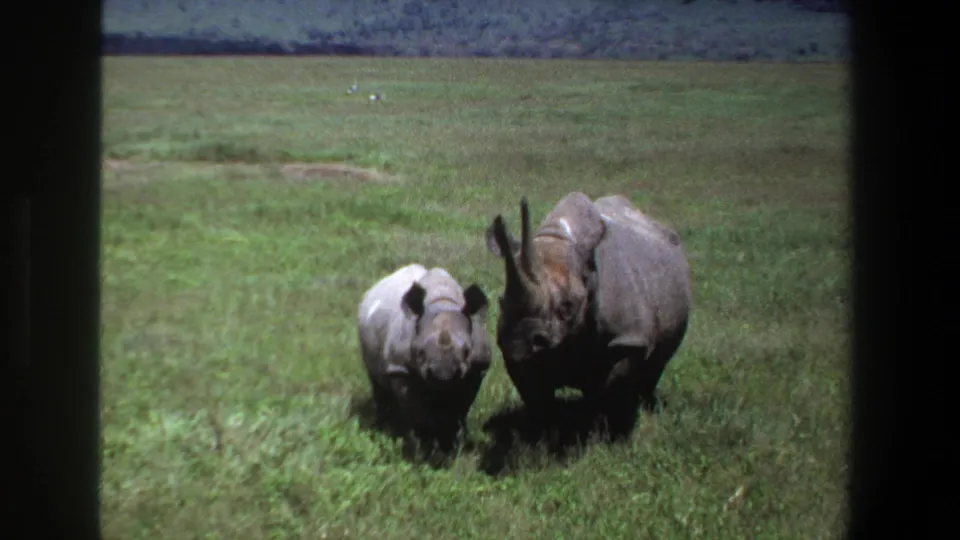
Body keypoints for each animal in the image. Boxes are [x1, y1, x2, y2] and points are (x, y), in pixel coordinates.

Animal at [357, 263, 492, 449]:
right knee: (376, 380)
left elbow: (460, 408)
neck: (443, 302)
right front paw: (426, 447)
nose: (443, 375)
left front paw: (451, 443)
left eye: (466, 351)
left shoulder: (477, 369)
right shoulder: (400, 368)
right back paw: (385, 429)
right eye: (420, 352)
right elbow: (418, 412)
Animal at [484, 192, 691, 435]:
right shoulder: (517, 351)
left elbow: (612, 389)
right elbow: (536, 396)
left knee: (656, 364)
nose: (520, 340)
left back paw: (645, 406)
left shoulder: (628, 338)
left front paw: (605, 433)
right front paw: (545, 433)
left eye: (568, 306)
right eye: (501, 301)